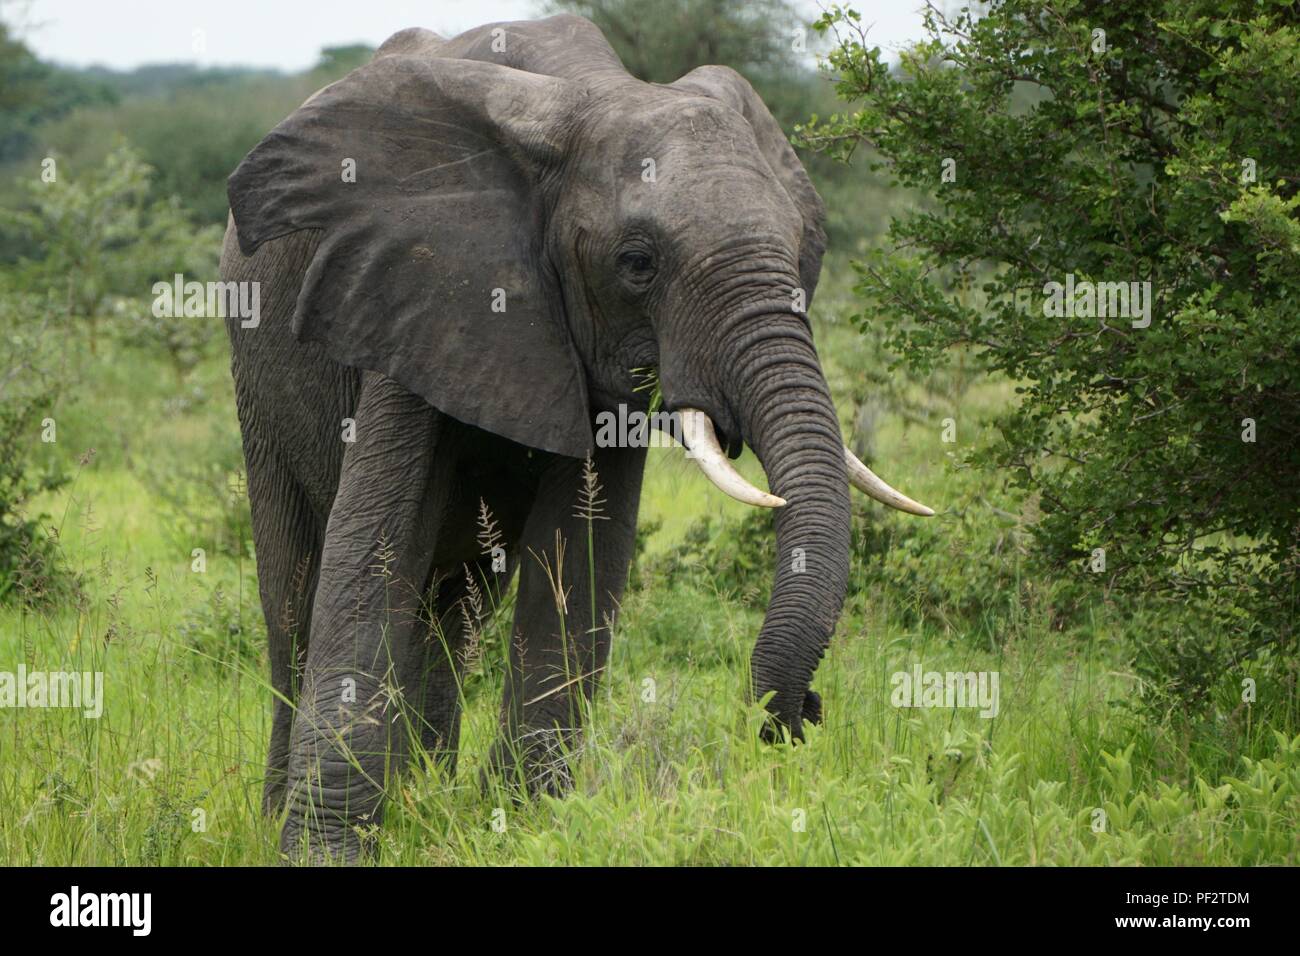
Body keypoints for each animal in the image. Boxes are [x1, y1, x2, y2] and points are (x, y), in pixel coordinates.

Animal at [219, 13, 933, 862]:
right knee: (295, 597)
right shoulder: (410, 286)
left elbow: (580, 557)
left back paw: (425, 799)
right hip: (257, 383)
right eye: (637, 263)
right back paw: (291, 807)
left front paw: (523, 829)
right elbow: (374, 553)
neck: (583, 95)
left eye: (800, 251)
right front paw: (325, 851)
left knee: (453, 611)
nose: (804, 712)